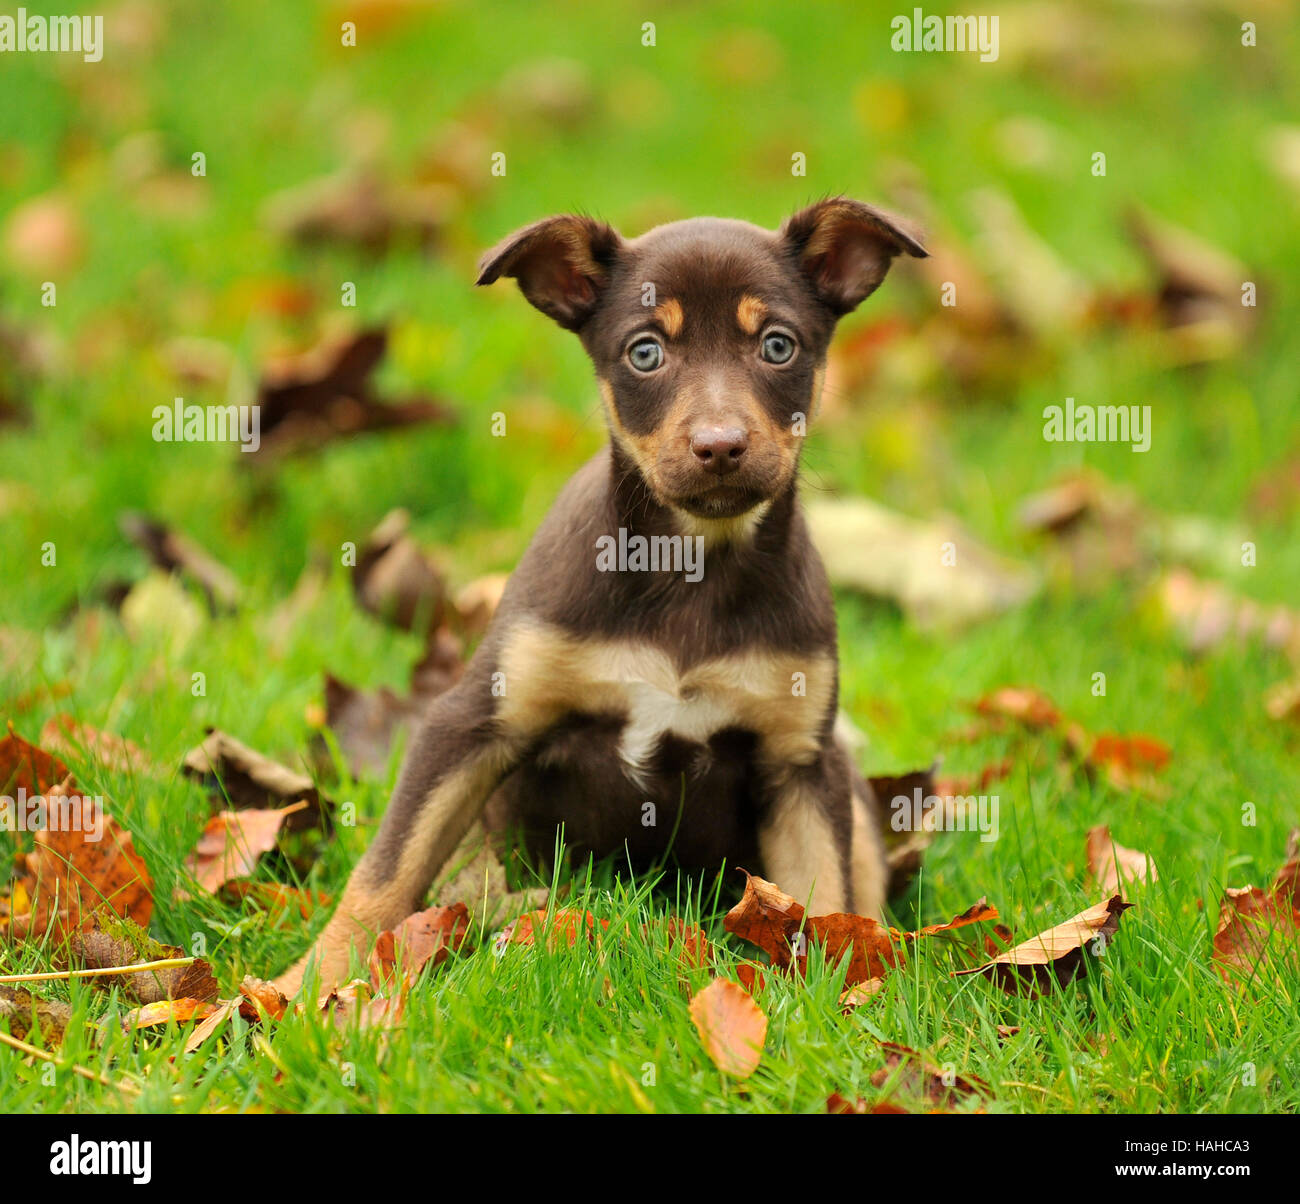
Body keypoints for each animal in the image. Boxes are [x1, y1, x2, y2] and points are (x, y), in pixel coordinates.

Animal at [276, 195, 925, 988]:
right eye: (644, 353)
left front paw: (838, 996)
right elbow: (385, 870)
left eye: (779, 346)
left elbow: (824, 895)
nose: (719, 446)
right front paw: (307, 986)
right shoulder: (470, 723)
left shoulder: (800, 763)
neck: (689, 567)